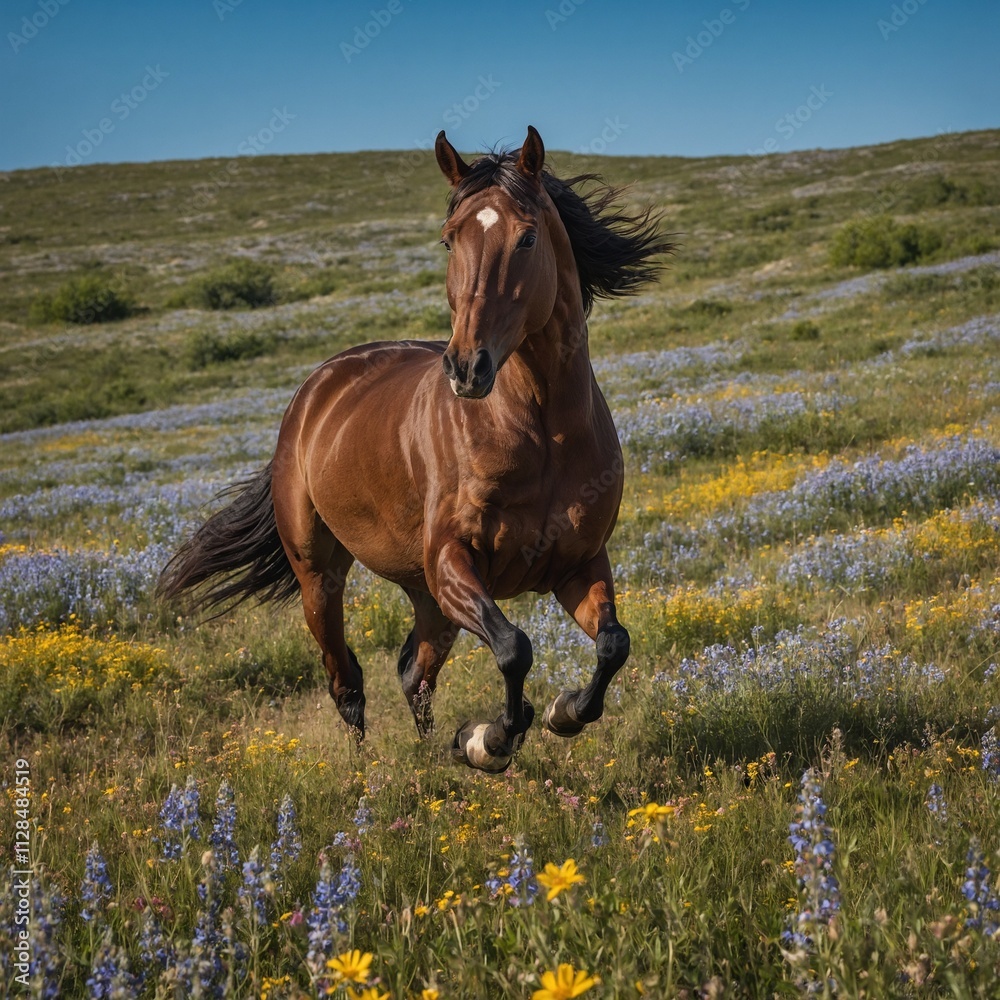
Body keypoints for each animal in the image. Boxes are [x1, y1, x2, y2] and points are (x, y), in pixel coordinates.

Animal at [159, 126, 672, 772]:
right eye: (450, 240)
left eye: (527, 236)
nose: (467, 367)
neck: (541, 431)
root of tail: (317, 388)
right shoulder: (454, 561)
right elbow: (514, 647)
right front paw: (489, 740)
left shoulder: (578, 563)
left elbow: (613, 644)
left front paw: (562, 712)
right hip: (324, 577)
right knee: (346, 679)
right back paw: (370, 768)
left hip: (427, 598)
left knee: (413, 673)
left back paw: (431, 753)